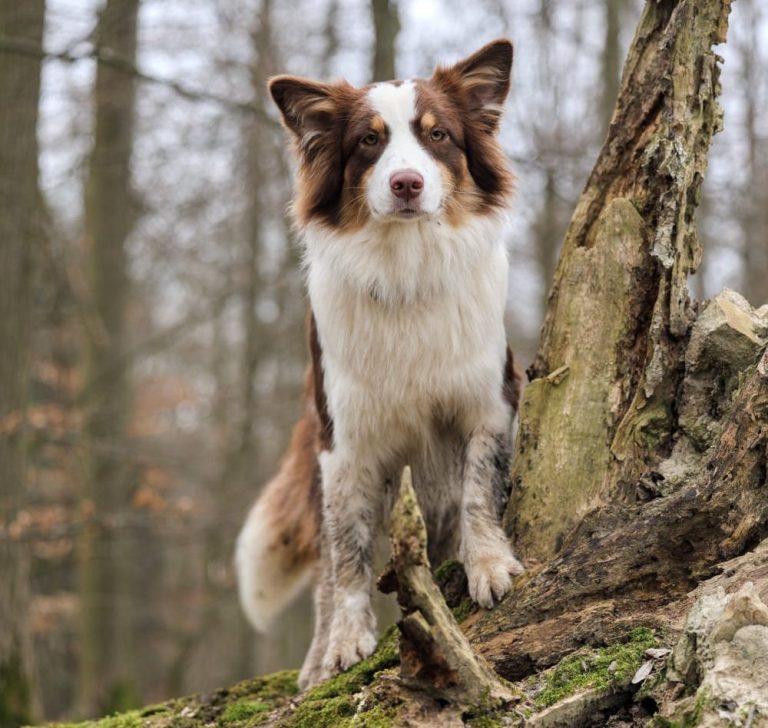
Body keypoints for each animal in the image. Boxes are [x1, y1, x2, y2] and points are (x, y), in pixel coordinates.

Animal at [234, 38, 520, 688]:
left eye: (437, 135)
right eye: (369, 140)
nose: (407, 183)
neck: (406, 269)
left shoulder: (489, 402)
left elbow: (478, 490)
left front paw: (488, 565)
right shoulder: (346, 443)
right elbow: (349, 554)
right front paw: (344, 643)